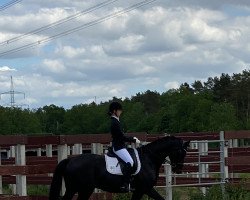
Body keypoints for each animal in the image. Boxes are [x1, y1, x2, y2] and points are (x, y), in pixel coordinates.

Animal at [48, 136, 189, 200]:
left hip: (78, 189)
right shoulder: (144, 188)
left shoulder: (144, 189)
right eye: (180, 152)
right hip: (82, 189)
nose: (178, 170)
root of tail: (70, 160)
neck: (149, 158)